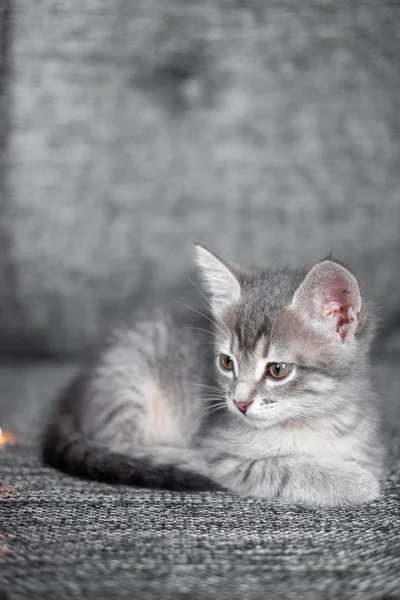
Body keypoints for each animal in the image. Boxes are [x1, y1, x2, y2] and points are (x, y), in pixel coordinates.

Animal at [42, 246, 382, 504]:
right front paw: (351, 481)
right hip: (128, 376)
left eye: (277, 370)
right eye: (227, 362)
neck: (313, 422)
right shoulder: (221, 453)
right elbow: (279, 468)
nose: (239, 403)